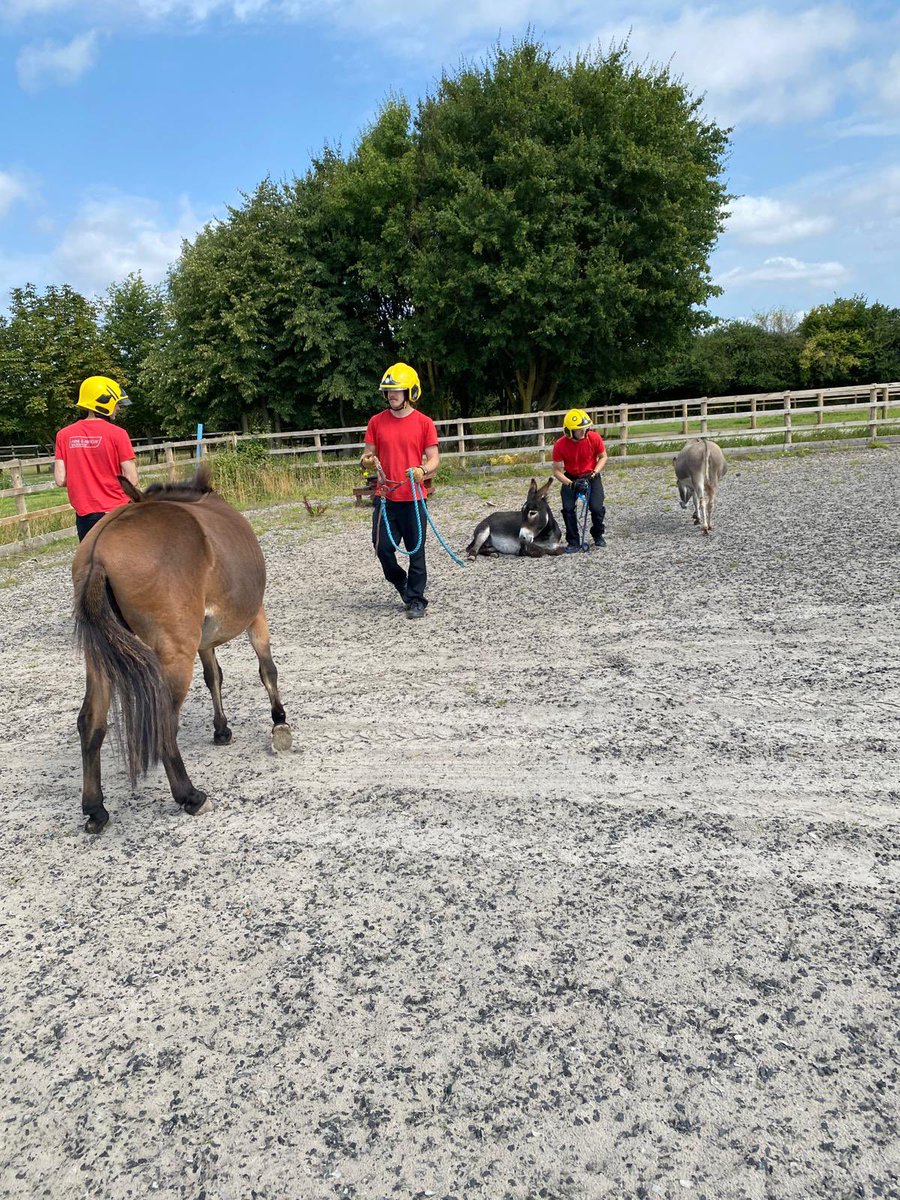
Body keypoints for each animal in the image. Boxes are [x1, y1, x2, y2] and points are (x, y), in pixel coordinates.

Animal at [71, 466, 291, 833]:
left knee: (90, 722)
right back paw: (190, 796)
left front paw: (221, 729)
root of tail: (100, 550)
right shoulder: (256, 614)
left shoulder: (203, 639)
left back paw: (95, 809)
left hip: (101, 661)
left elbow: (214, 676)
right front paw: (279, 724)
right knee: (164, 722)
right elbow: (267, 669)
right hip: (175, 655)